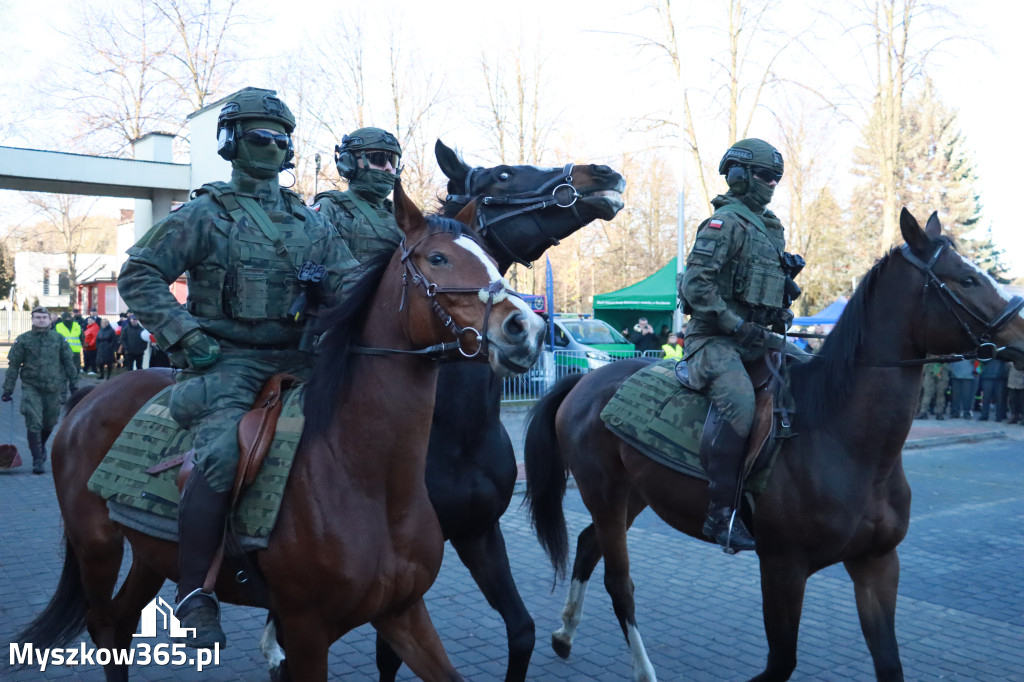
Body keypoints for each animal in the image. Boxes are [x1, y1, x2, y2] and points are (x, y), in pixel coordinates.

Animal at [18, 182, 544, 679]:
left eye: (490, 258)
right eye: (438, 258)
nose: (527, 328)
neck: (366, 476)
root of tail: (92, 395)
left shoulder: (404, 612)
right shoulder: (307, 629)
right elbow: (141, 269)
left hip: (151, 555)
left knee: (123, 623)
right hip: (97, 547)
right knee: (104, 624)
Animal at [372, 139, 618, 679]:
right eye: (503, 174)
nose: (603, 172)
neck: (451, 434)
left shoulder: (479, 533)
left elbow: (522, 630)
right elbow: (388, 655)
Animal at [524, 208, 1024, 679]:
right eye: (968, 279)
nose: (1021, 333)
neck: (849, 443)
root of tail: (585, 382)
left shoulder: (877, 564)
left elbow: (889, 664)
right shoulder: (783, 568)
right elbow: (781, 662)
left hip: (634, 496)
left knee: (588, 546)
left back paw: (564, 635)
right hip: (606, 495)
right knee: (619, 582)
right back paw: (641, 669)